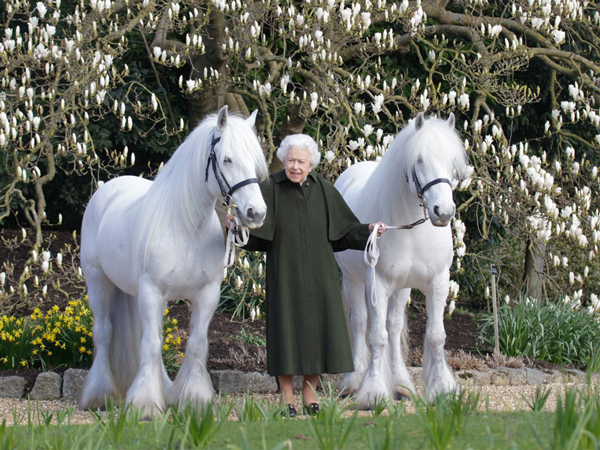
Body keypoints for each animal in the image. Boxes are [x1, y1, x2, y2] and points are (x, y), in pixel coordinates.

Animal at [79, 106, 268, 418]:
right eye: (227, 159)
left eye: (254, 162)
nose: (256, 213)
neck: (186, 227)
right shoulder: (152, 291)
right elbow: (150, 345)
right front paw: (144, 405)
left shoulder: (206, 294)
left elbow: (195, 344)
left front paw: (194, 399)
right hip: (98, 281)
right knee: (104, 332)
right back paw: (99, 395)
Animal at [336, 111, 466, 408]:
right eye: (419, 160)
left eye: (452, 162)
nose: (443, 212)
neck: (411, 228)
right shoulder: (378, 284)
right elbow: (376, 337)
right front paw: (373, 393)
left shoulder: (438, 282)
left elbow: (435, 336)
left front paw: (442, 389)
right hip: (353, 281)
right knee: (360, 323)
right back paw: (354, 380)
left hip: (401, 288)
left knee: (393, 327)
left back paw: (400, 384)